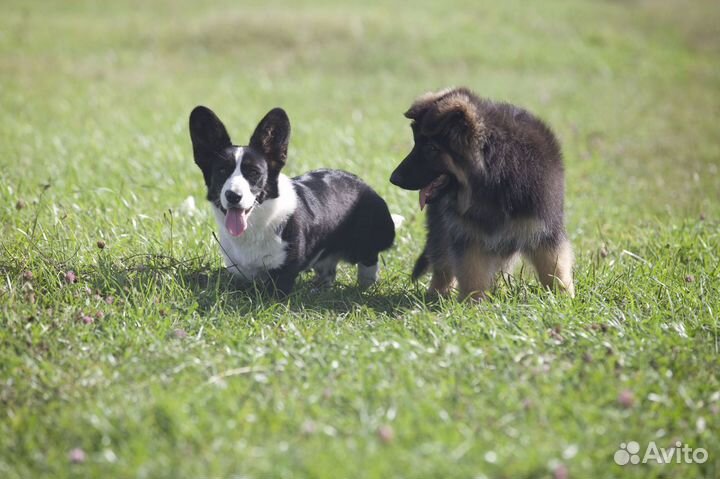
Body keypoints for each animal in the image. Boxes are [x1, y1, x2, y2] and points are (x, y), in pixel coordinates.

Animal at [388, 87, 572, 298]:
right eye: (415, 143)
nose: (393, 179)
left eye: (431, 148)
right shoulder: (467, 235)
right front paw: (472, 302)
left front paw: (564, 299)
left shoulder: (544, 231)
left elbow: (555, 270)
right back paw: (437, 294)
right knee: (442, 263)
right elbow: (472, 275)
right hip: (442, 227)